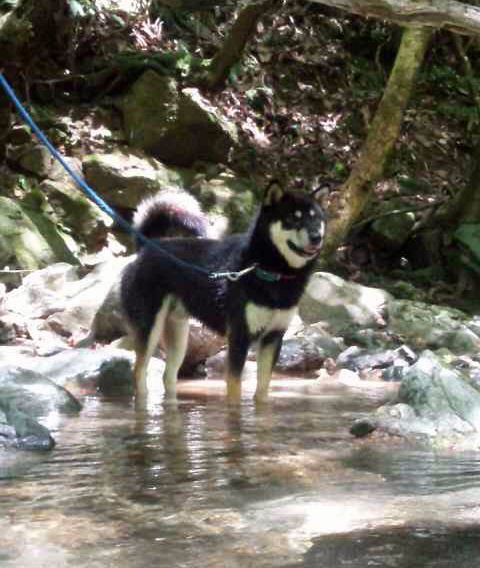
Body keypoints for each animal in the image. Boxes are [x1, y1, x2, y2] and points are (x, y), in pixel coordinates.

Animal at [120, 181, 326, 402]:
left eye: (316, 218)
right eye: (292, 218)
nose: (316, 237)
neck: (271, 271)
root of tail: (148, 246)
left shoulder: (273, 338)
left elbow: (262, 391)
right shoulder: (239, 336)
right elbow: (234, 390)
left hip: (178, 334)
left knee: (168, 375)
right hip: (150, 330)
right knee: (139, 372)